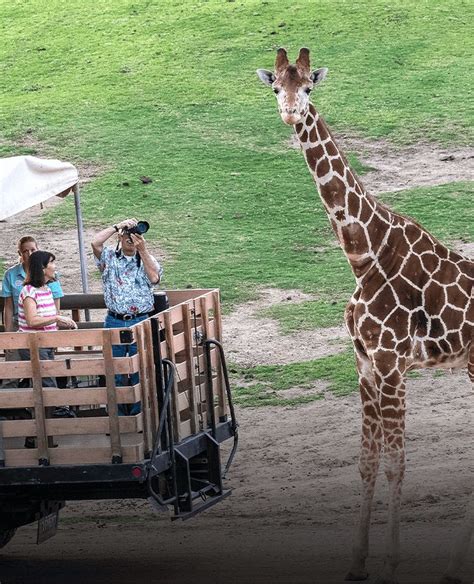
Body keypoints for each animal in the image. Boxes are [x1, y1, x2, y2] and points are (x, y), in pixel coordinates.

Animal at [258, 48, 472, 580]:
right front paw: (357, 561)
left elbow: (396, 462)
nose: (290, 112)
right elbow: (367, 461)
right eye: (276, 87)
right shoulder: (364, 363)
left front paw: (392, 562)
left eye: (308, 86)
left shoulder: (393, 363)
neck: (364, 254)